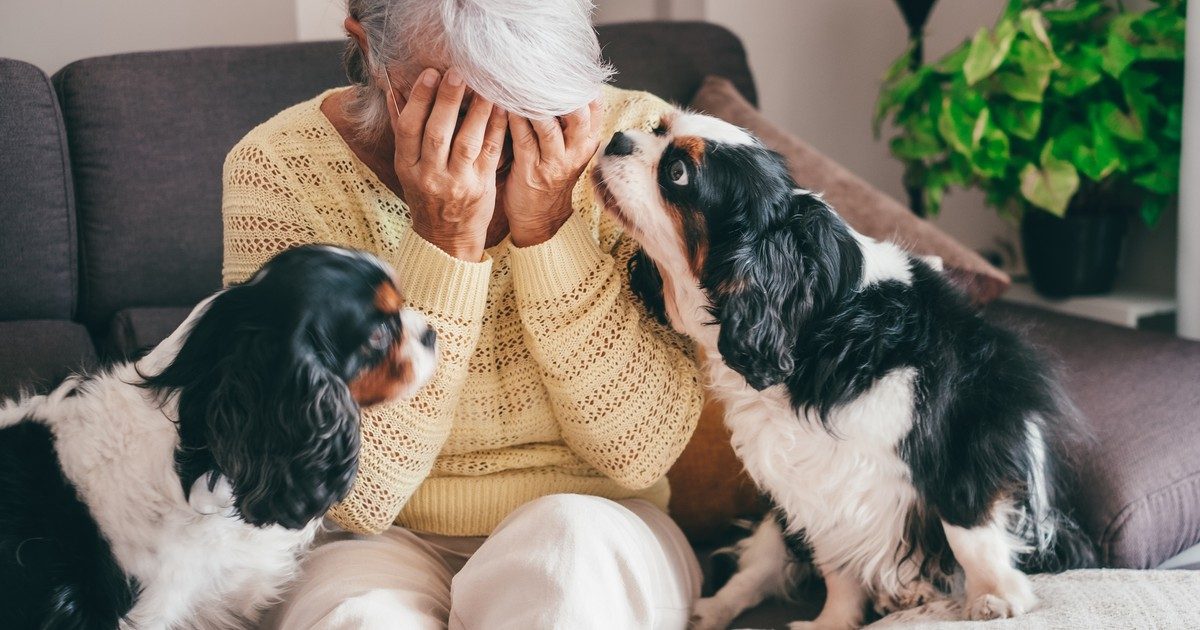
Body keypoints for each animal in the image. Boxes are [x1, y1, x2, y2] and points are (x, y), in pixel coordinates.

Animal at [595, 110, 1094, 624]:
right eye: (658, 127)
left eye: (677, 173)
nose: (615, 139)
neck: (821, 323)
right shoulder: (815, 486)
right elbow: (838, 566)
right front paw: (832, 622)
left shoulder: (964, 434)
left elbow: (969, 531)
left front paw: (995, 597)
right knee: (760, 568)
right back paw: (711, 610)